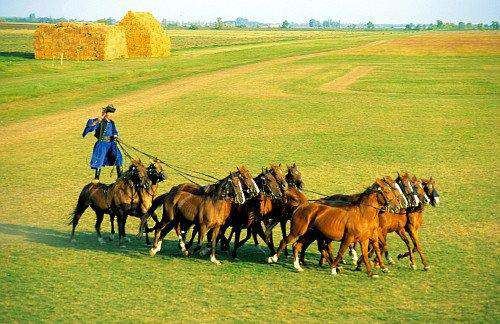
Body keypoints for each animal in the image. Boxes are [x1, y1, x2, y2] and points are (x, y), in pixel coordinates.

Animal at [270, 178, 402, 278]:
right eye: (387, 191)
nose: (397, 206)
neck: (363, 215)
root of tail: (302, 205)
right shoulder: (349, 238)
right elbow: (341, 251)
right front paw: (334, 269)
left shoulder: (365, 239)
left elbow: (367, 254)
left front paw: (371, 272)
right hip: (298, 231)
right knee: (285, 241)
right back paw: (273, 258)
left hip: (311, 234)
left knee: (298, 245)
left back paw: (298, 266)